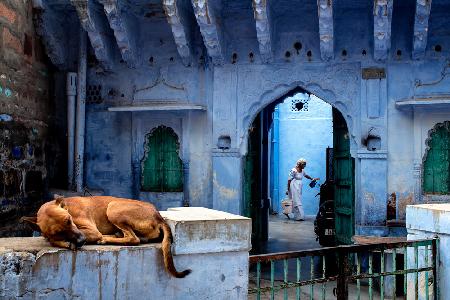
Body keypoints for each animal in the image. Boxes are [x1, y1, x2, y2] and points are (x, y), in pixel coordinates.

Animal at [21, 196, 190, 278]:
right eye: (58, 231)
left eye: (68, 220)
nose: (81, 241)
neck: (69, 208)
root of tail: (158, 216)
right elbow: (51, 239)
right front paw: (64, 242)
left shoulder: (90, 230)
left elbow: (53, 241)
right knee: (136, 238)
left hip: (113, 207)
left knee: (132, 238)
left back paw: (105, 238)